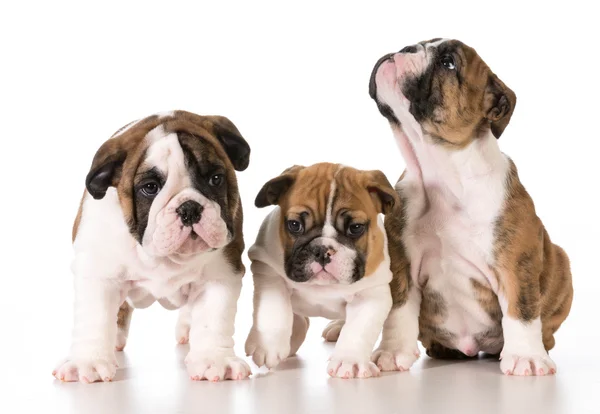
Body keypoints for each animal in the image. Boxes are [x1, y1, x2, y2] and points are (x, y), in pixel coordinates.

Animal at [52, 111, 254, 384]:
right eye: (150, 187)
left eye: (215, 179)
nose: (189, 208)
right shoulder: (97, 271)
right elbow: (94, 317)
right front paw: (89, 361)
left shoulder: (221, 272)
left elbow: (214, 317)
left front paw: (215, 359)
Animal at [244, 162, 398, 378]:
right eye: (295, 225)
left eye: (355, 227)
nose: (323, 251)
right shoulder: (267, 268)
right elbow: (273, 308)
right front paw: (268, 345)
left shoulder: (372, 294)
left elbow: (359, 329)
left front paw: (349, 361)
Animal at [368, 38, 576, 376]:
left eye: (448, 63)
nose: (406, 47)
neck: (440, 172)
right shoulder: (401, 263)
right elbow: (398, 308)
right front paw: (392, 351)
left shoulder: (515, 262)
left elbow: (521, 308)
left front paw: (527, 357)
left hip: (560, 262)